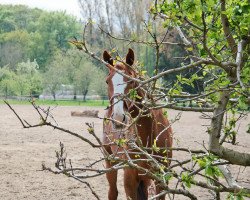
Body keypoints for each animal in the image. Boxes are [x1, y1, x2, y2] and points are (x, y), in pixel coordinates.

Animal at [102, 48, 172, 200]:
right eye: (107, 81)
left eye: (131, 81)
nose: (117, 117)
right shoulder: (130, 180)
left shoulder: (161, 179)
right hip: (110, 163)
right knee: (112, 192)